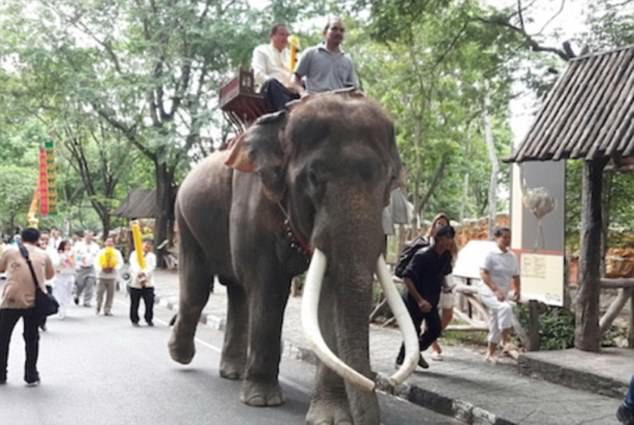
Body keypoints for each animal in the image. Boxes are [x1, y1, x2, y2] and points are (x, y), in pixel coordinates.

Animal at [169, 93, 420, 424]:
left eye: (391, 180)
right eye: (313, 177)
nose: (380, 382)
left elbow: (329, 300)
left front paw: (331, 418)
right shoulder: (255, 202)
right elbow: (269, 289)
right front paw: (262, 401)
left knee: (237, 291)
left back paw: (233, 372)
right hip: (185, 219)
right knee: (198, 287)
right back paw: (181, 355)